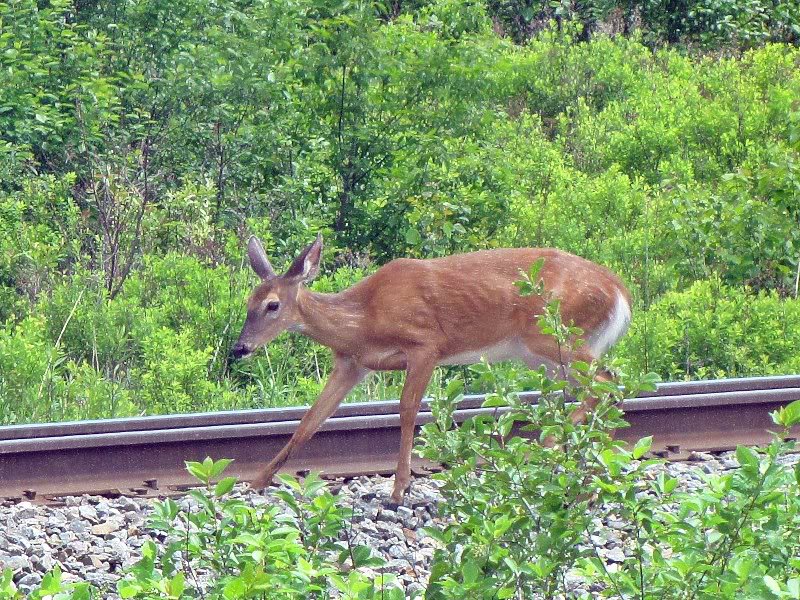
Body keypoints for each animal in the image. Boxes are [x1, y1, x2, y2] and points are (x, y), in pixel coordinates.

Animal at [231, 234, 632, 503]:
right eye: (247, 301)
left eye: (272, 305)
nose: (240, 348)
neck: (363, 320)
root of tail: (621, 293)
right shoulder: (352, 364)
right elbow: (309, 422)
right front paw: (257, 481)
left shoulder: (426, 344)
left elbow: (408, 410)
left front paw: (399, 488)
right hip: (550, 358)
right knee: (595, 391)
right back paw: (593, 472)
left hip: (556, 336)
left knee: (608, 381)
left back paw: (561, 450)